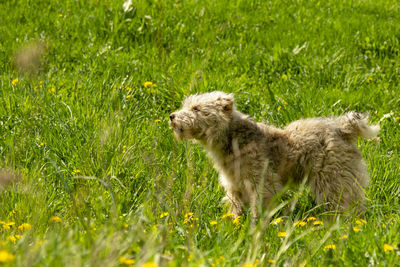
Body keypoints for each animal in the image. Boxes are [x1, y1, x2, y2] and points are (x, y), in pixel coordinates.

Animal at [168, 92, 378, 218]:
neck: (233, 139)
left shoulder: (262, 182)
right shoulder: (235, 186)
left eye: (196, 108)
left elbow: (259, 205)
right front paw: (234, 225)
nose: (172, 116)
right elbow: (235, 207)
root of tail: (343, 127)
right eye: (187, 105)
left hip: (334, 178)